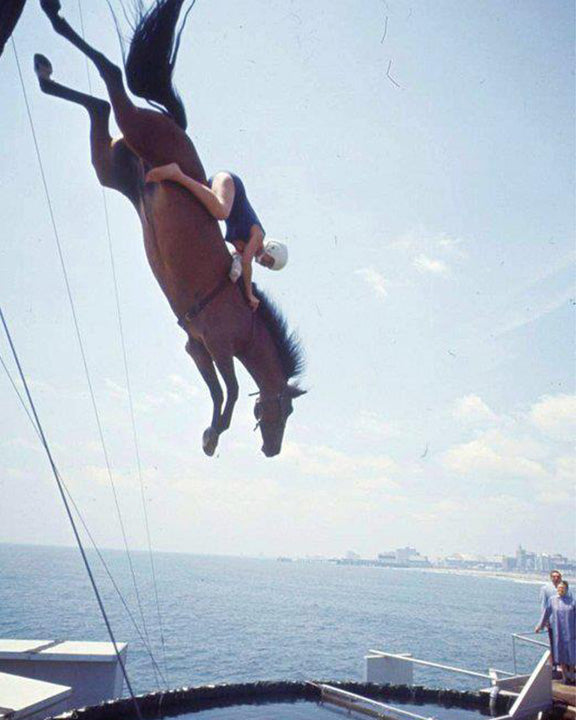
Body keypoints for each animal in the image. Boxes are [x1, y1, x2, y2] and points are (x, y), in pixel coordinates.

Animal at [37, 0, 306, 456]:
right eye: (284, 411)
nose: (273, 450)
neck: (248, 327)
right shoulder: (218, 346)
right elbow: (233, 390)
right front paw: (215, 432)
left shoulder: (197, 347)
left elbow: (216, 390)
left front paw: (212, 431)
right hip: (142, 130)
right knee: (112, 76)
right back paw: (53, 21)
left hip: (111, 167)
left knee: (100, 105)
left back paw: (44, 71)